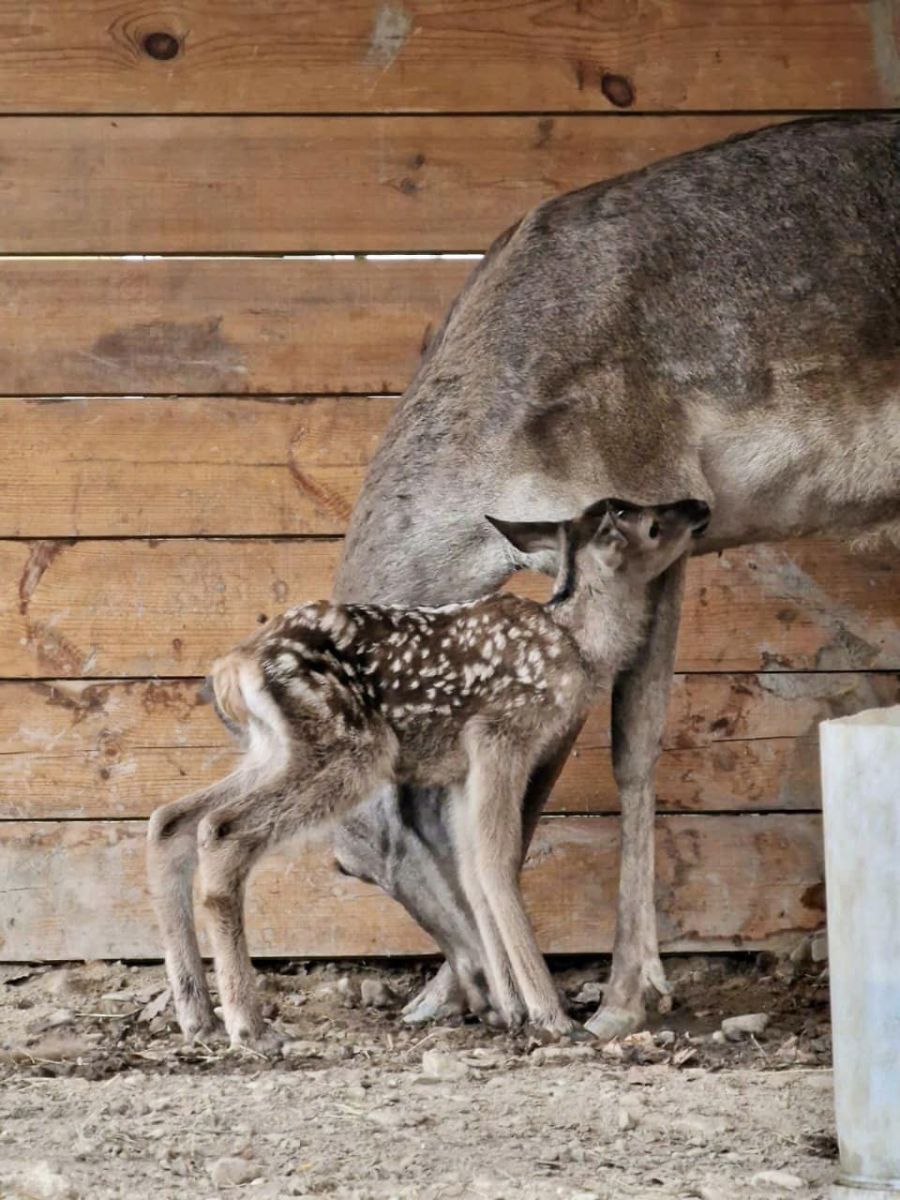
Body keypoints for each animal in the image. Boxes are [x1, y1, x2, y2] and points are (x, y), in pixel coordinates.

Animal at [146, 497, 710, 1046]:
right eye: (651, 523)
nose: (698, 506)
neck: (579, 646)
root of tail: (229, 670)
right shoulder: (500, 733)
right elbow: (498, 860)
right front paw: (550, 1015)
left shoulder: (460, 771)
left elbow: (470, 868)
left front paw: (509, 1009)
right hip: (350, 747)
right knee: (222, 830)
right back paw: (249, 1027)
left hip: (271, 751)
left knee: (171, 819)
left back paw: (199, 1019)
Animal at [325, 114, 900, 1041]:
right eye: (351, 868)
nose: (472, 980)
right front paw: (443, 997)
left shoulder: (666, 512)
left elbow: (632, 744)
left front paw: (625, 996)